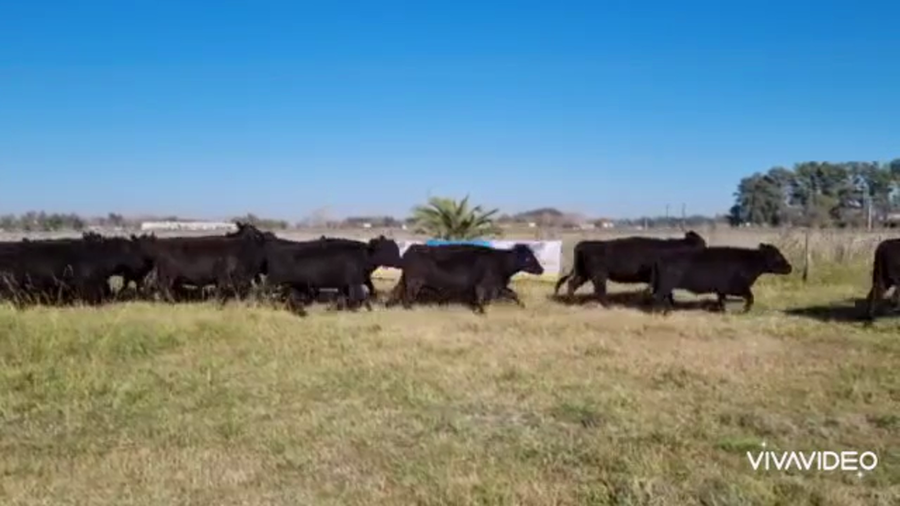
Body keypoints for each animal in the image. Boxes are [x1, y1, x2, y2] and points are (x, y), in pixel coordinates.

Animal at [386, 243, 544, 313]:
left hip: (407, 280)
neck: (500, 261)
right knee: (408, 297)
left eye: (533, 256)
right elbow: (481, 299)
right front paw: (482, 312)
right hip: (414, 282)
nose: (541, 269)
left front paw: (523, 306)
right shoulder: (483, 286)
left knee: (396, 292)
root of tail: (412, 249)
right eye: (528, 258)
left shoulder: (499, 286)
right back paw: (410, 310)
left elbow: (513, 294)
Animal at [553, 231, 707, 306]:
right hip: (598, 275)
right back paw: (608, 305)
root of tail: (583, 244)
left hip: (584, 273)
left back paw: (572, 301)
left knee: (572, 283)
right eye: (702, 245)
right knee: (599, 290)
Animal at [649, 243, 793, 315]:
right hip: (665, 285)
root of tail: (660, 256)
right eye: (777, 256)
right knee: (658, 298)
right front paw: (745, 311)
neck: (750, 262)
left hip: (666, 286)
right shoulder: (738, 287)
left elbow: (722, 300)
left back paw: (669, 310)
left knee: (667, 297)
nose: (790, 267)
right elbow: (751, 297)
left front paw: (724, 311)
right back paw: (661, 312)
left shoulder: (722, 289)